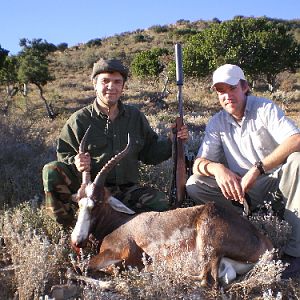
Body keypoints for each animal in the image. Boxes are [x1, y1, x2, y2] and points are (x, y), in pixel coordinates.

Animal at [71, 134, 274, 286]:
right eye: (78, 201)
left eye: (97, 202)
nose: (77, 241)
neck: (123, 221)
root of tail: (265, 243)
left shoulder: (120, 251)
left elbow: (80, 268)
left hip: (209, 247)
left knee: (208, 280)